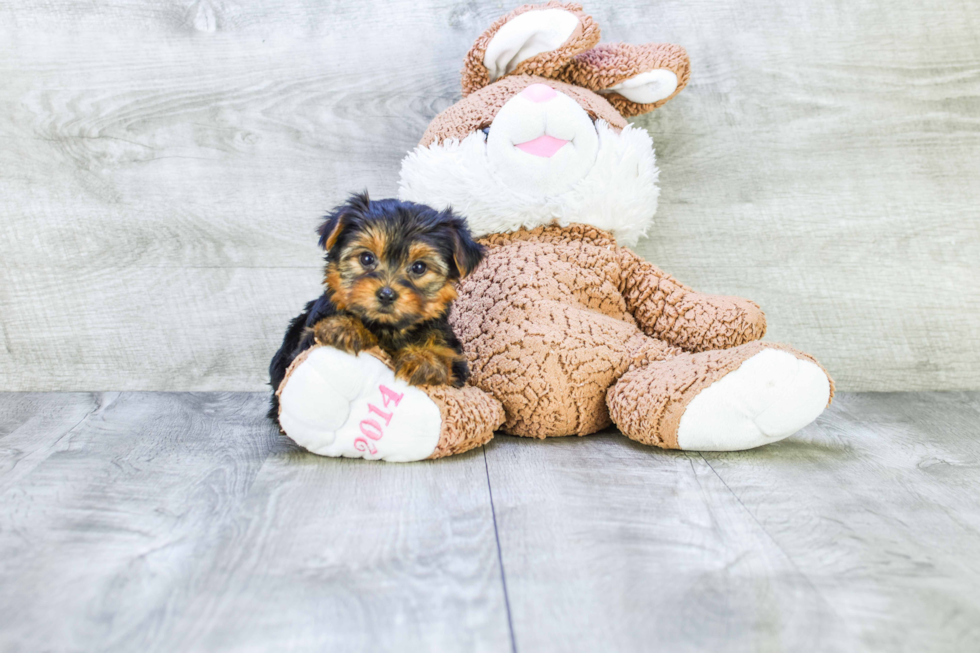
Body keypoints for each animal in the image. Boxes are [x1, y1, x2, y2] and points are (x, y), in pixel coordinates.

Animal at [266, 192, 484, 418]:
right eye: (366, 258)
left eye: (419, 267)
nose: (386, 294)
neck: (388, 328)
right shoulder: (307, 341)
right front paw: (346, 327)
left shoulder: (453, 357)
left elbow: (447, 361)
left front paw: (425, 359)